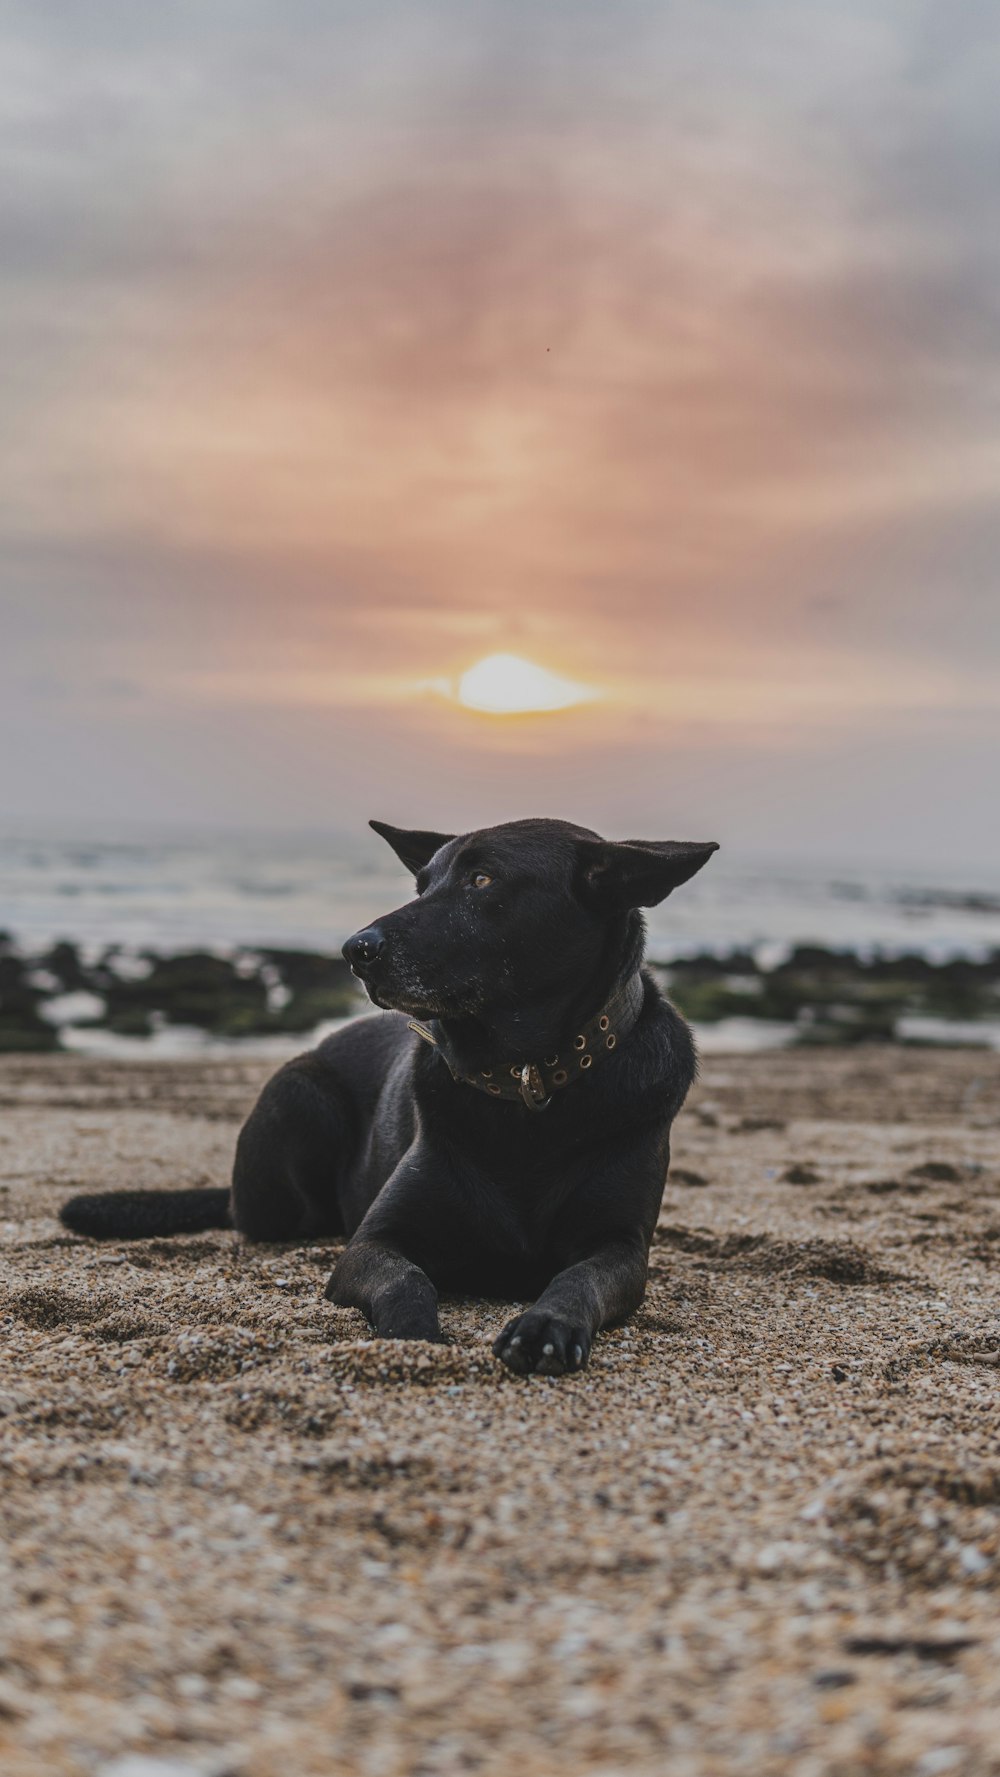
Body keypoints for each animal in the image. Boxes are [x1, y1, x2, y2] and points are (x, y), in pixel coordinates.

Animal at [60, 813, 721, 1371]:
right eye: (423, 884)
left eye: (482, 879)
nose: (356, 950)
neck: (526, 1079)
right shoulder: (372, 1242)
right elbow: (405, 1277)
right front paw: (412, 1336)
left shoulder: (622, 1246)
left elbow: (579, 1279)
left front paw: (546, 1325)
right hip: (300, 1100)